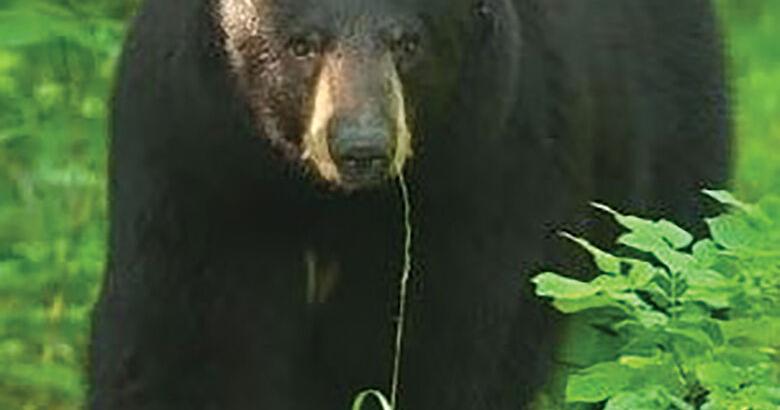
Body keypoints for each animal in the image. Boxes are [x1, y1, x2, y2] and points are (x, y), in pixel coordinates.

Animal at [89, 0, 730, 409]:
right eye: (302, 44)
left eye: (408, 43)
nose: (361, 147)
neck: (330, 205)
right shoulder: (201, 162)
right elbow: (188, 340)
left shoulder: (491, 166)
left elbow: (449, 343)